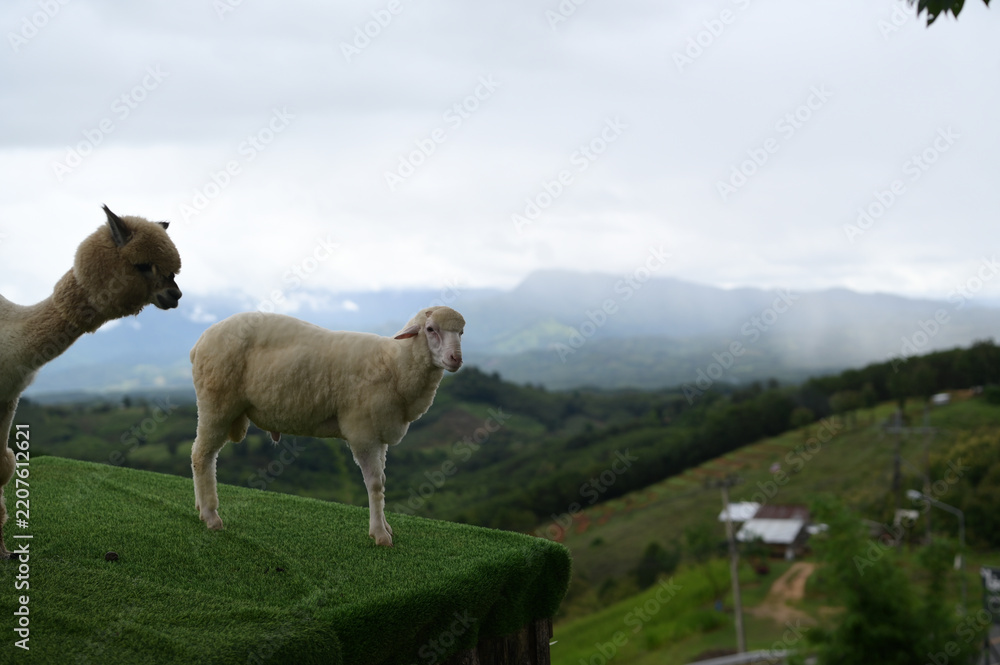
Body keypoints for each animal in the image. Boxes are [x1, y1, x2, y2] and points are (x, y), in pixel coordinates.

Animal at [0, 205, 182, 558]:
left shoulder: (9, 398)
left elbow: (1, 467)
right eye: (142, 265)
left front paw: (1, 553)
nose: (175, 295)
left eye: (174, 271)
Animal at [189, 305, 465, 546]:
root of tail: (199, 342)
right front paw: (379, 534)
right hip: (217, 403)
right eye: (430, 329)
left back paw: (201, 509)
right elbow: (375, 483)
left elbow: (383, 480)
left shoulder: (380, 433)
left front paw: (386, 527)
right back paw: (211, 516)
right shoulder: (363, 432)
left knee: (204, 455)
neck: (394, 364)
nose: (456, 359)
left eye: (461, 332)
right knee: (201, 455)